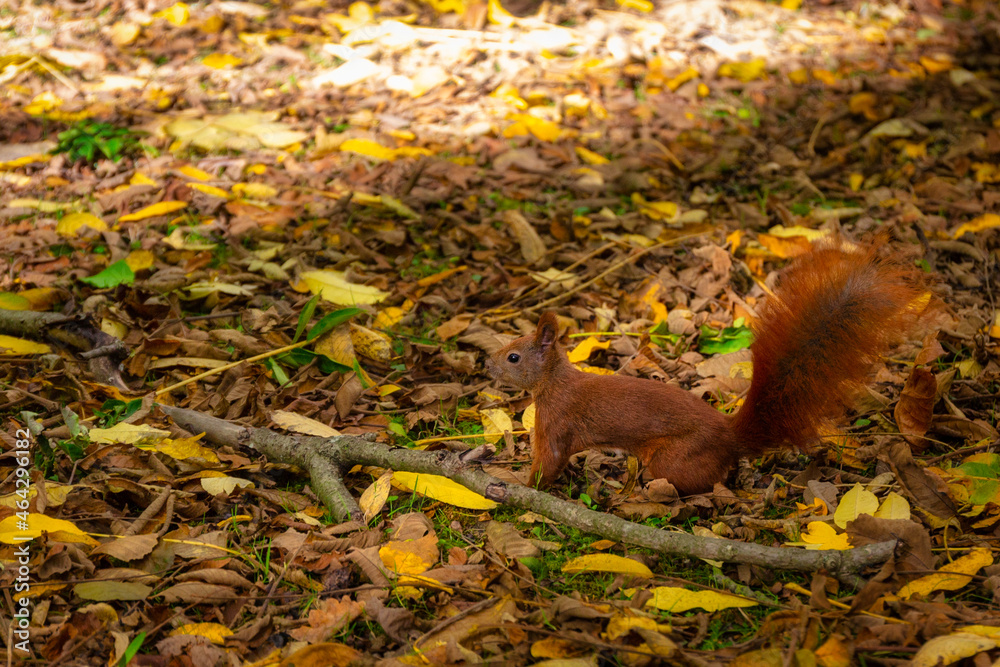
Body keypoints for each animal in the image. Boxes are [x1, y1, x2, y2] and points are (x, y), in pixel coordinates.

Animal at [484, 241, 928, 496]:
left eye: (514, 357)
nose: (488, 365)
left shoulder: (558, 420)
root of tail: (730, 438)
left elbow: (549, 462)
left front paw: (517, 484)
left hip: (672, 459)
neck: (555, 382)